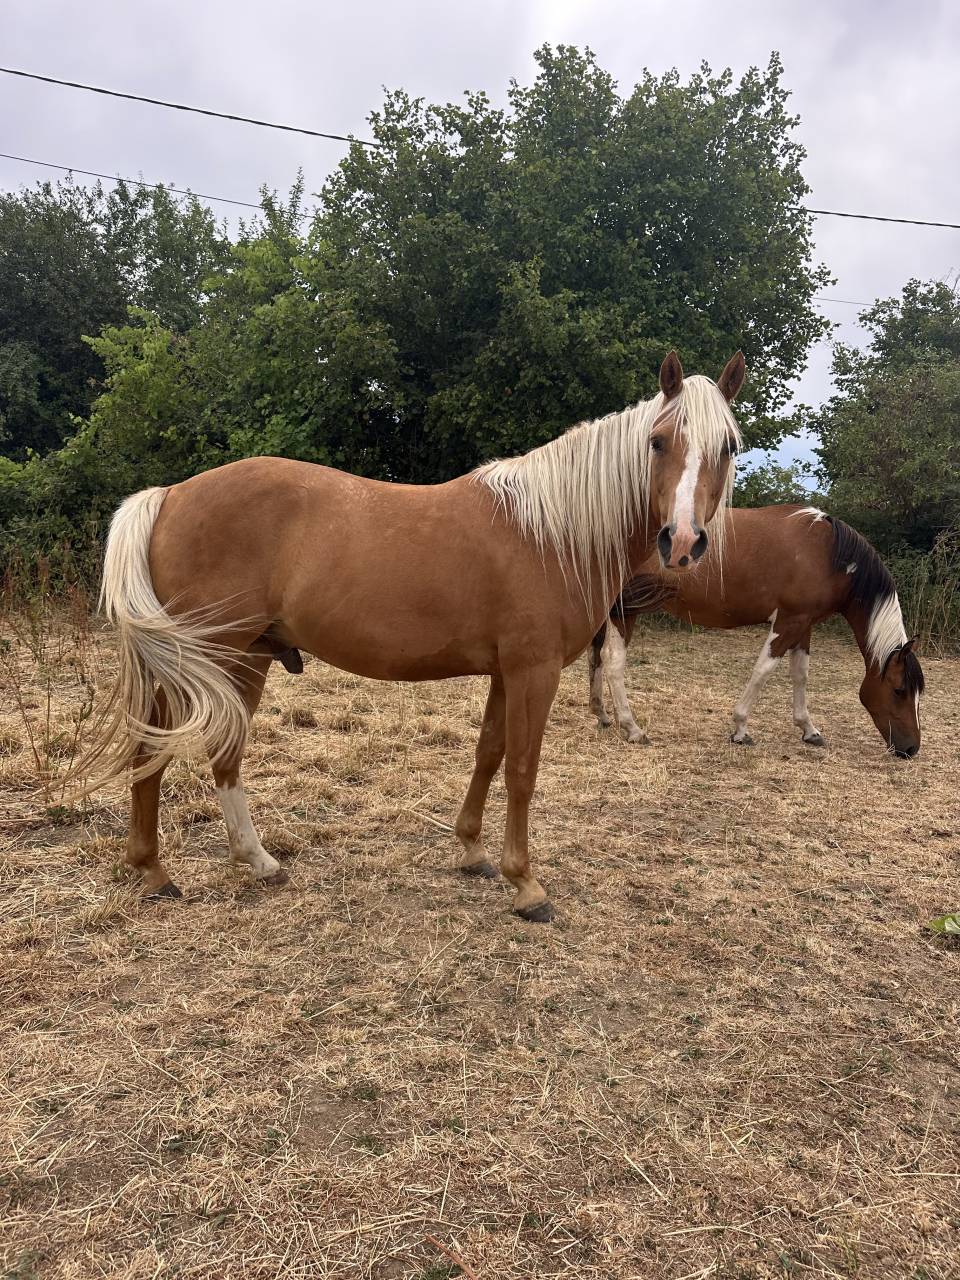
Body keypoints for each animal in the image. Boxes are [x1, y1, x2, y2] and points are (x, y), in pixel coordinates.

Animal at [74, 351, 745, 922]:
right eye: (657, 441)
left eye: (729, 446)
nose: (683, 542)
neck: (551, 530)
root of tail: (169, 495)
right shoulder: (534, 669)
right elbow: (522, 769)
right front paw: (526, 885)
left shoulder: (505, 672)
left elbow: (489, 754)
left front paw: (472, 851)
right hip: (204, 657)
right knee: (155, 746)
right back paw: (155, 872)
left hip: (245, 659)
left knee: (219, 752)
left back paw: (256, 862)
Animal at [588, 505, 924, 757]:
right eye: (899, 690)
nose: (910, 749)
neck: (828, 555)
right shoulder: (788, 622)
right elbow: (763, 670)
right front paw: (740, 729)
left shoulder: (804, 626)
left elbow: (800, 674)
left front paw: (808, 729)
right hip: (624, 611)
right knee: (612, 660)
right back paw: (632, 728)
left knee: (597, 657)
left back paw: (602, 714)